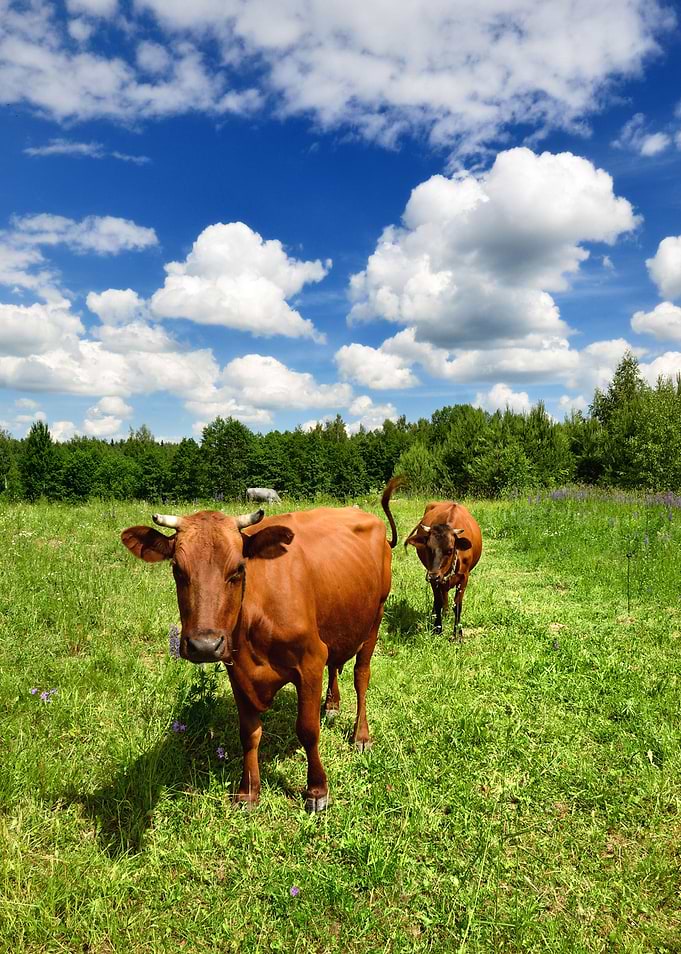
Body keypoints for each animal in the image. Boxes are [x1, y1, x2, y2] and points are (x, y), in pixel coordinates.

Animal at [120, 477, 403, 813]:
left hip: (375, 618)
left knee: (361, 677)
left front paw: (317, 790)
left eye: (238, 569)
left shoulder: (310, 660)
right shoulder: (238, 670)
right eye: (177, 569)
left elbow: (308, 730)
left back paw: (361, 735)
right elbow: (249, 733)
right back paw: (332, 704)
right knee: (336, 663)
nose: (204, 645)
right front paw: (249, 791)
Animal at [405, 501, 482, 640]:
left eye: (450, 550)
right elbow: (438, 601)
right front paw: (437, 629)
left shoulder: (464, 578)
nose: (433, 576)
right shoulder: (434, 579)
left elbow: (457, 605)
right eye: (428, 548)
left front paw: (458, 635)